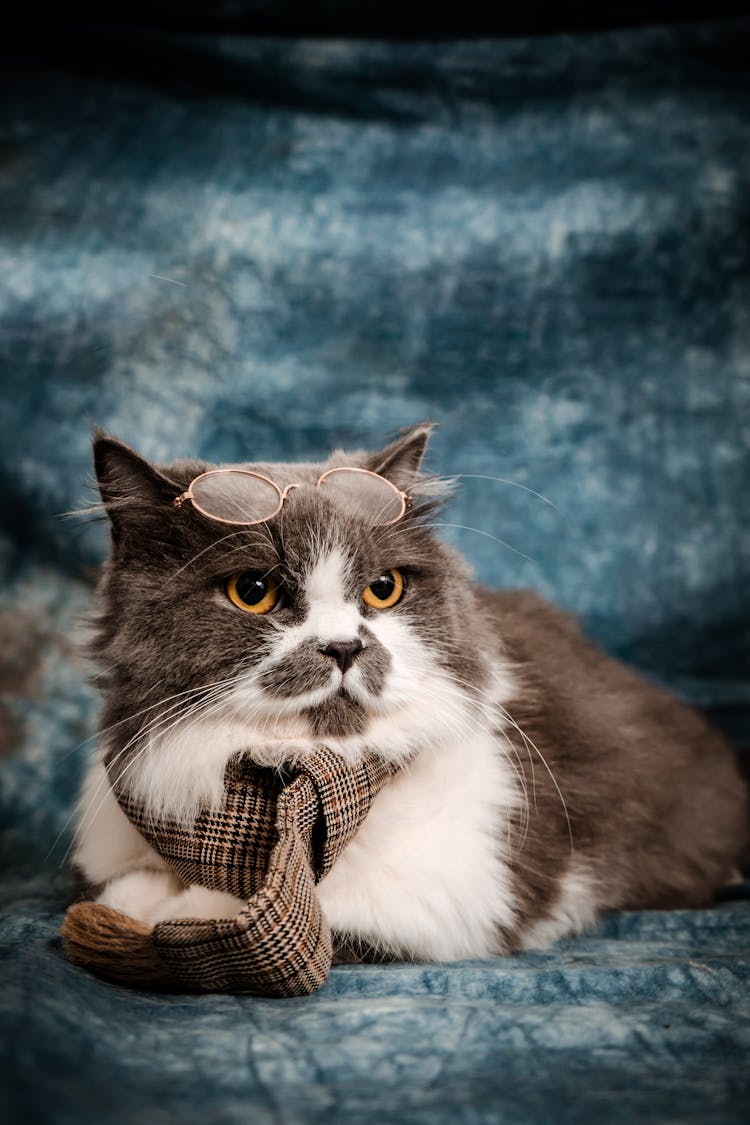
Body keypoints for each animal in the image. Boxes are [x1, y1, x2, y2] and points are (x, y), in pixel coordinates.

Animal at [73, 423, 746, 958]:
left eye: (383, 589)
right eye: (253, 591)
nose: (344, 647)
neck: (287, 792)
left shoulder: (461, 892)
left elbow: (323, 915)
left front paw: (185, 912)